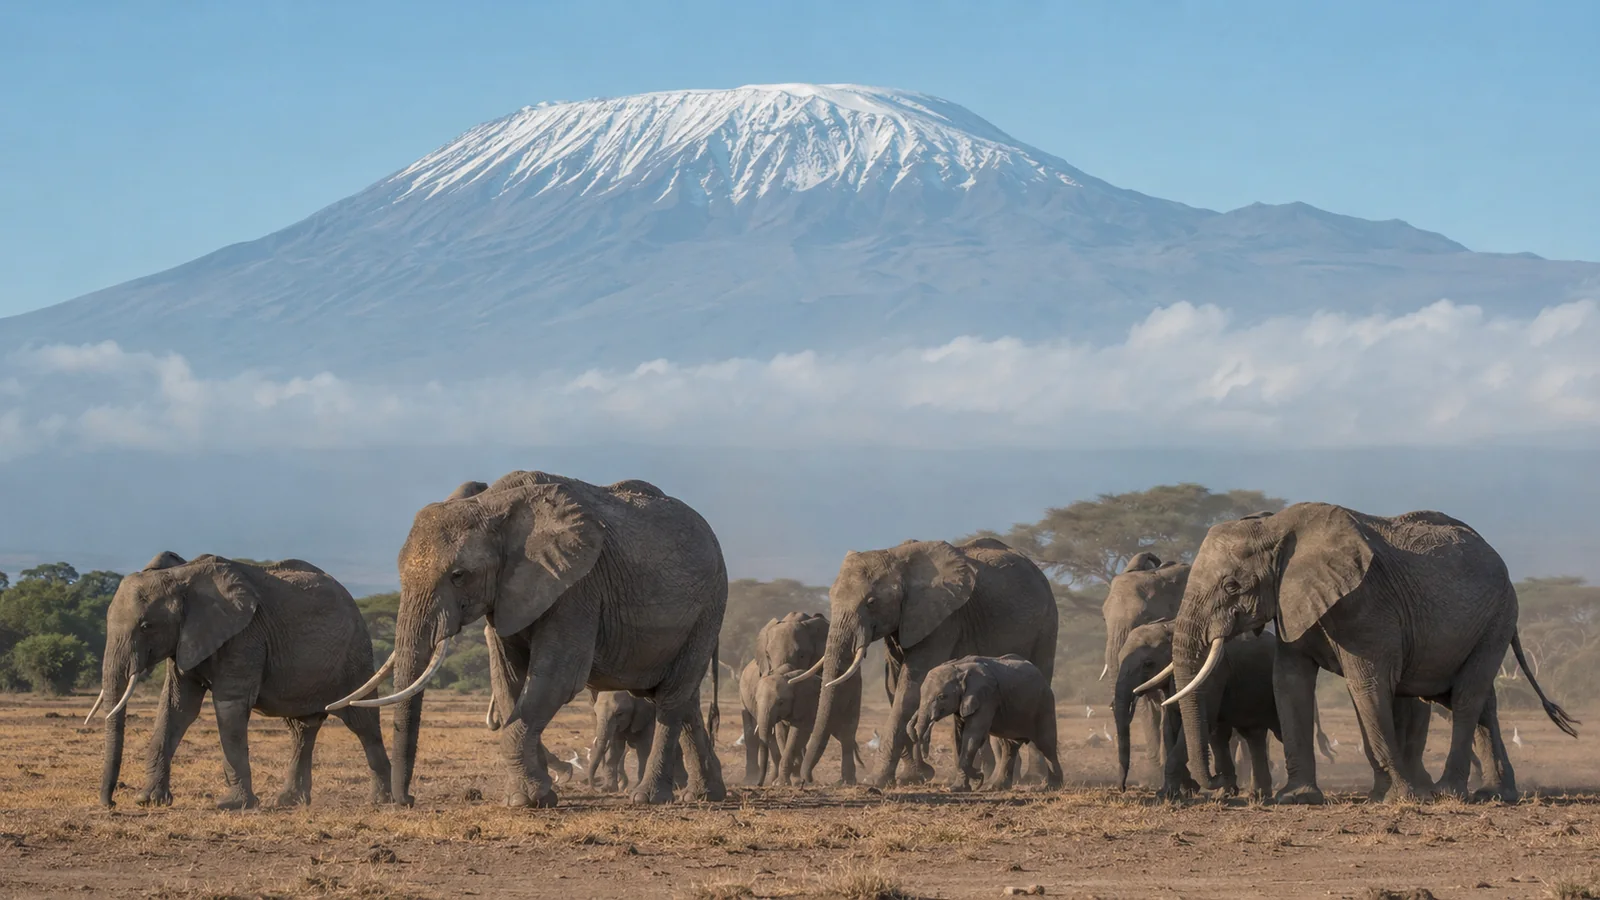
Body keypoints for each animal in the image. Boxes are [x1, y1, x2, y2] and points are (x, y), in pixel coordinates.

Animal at [90, 552, 391, 809]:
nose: (111, 803)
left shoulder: (245, 636)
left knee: (362, 722)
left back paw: (381, 801)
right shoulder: (185, 640)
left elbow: (229, 707)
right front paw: (149, 801)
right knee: (302, 729)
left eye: (146, 626)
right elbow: (176, 707)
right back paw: (288, 802)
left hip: (354, 655)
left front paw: (232, 805)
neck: (181, 575)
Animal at [328, 472, 728, 808]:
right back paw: (706, 794)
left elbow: (556, 678)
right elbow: (508, 681)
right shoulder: (508, 593)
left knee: (672, 699)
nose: (406, 801)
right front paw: (534, 794)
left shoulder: (577, 586)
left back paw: (650, 798)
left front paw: (526, 801)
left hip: (709, 606)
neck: (494, 503)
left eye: (459, 575)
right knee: (683, 700)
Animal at [909, 654, 1064, 791]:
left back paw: (1051, 787)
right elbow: (959, 736)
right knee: (1009, 747)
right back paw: (996, 787)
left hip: (1044, 705)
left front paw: (964, 784)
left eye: (942, 697)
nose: (927, 768)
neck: (959, 667)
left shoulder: (986, 698)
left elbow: (972, 736)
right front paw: (964, 785)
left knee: (1046, 745)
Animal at [1166, 503, 1577, 805]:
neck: (1276, 526)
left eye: (1232, 586)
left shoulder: (1366, 604)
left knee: (1465, 698)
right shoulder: (1292, 603)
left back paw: (1448, 792)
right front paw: (1297, 797)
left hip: (1498, 617)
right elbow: (1289, 683)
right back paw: (1497, 794)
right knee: (1480, 702)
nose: (1219, 783)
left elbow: (1368, 686)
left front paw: (1400, 797)